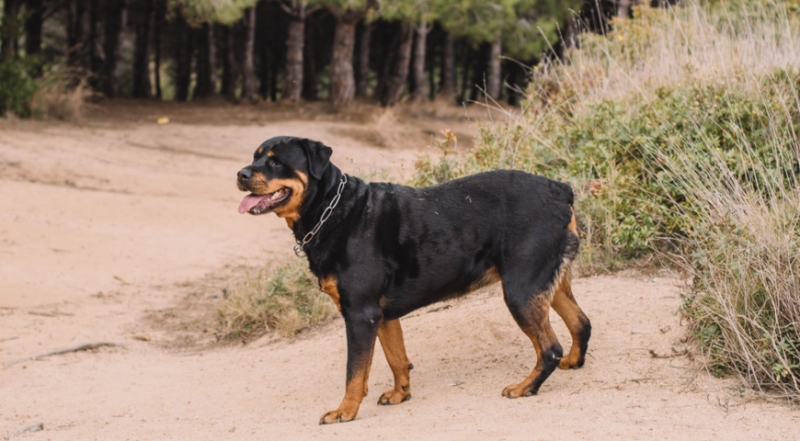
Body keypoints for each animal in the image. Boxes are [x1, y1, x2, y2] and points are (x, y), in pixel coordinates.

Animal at [234, 137, 592, 422]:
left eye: (276, 161)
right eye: (255, 157)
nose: (241, 174)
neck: (332, 212)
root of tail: (560, 190)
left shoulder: (360, 314)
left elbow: (354, 373)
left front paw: (345, 412)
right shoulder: (381, 315)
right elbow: (397, 359)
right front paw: (400, 394)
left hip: (519, 290)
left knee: (549, 348)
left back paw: (525, 387)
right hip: (546, 283)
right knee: (581, 323)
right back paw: (573, 362)